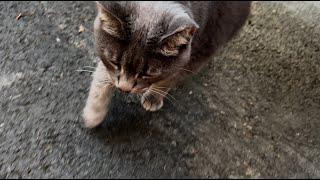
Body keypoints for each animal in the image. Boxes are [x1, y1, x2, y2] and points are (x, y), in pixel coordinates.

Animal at [83, 1, 252, 128]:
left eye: (148, 74)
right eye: (115, 62)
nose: (124, 89)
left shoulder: (198, 53)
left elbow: (169, 79)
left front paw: (153, 97)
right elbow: (103, 76)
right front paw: (93, 112)